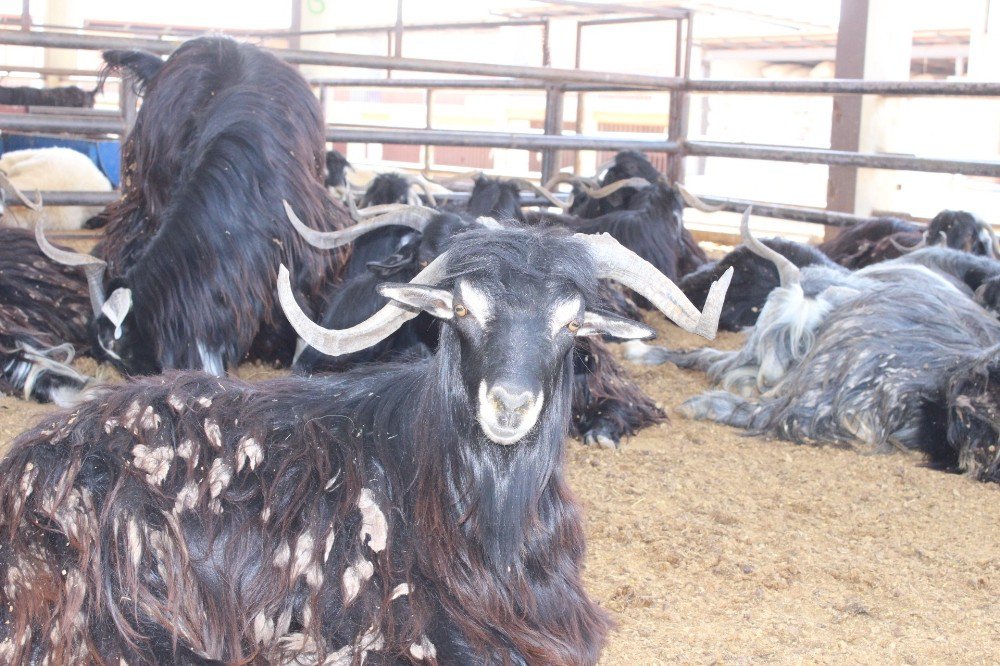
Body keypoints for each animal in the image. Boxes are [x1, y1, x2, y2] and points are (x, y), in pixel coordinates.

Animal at [628, 210, 1000, 480]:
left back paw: (702, 404)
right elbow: (704, 354)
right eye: (772, 330)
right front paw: (642, 350)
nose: (767, 379)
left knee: (777, 415)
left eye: (801, 341)